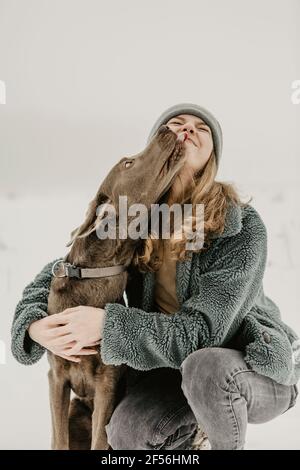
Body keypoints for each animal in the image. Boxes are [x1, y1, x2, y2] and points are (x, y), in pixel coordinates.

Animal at [46, 126, 185, 452]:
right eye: (128, 163)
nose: (166, 128)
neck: (93, 277)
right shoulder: (56, 375)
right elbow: (58, 439)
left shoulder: (108, 381)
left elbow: (100, 439)